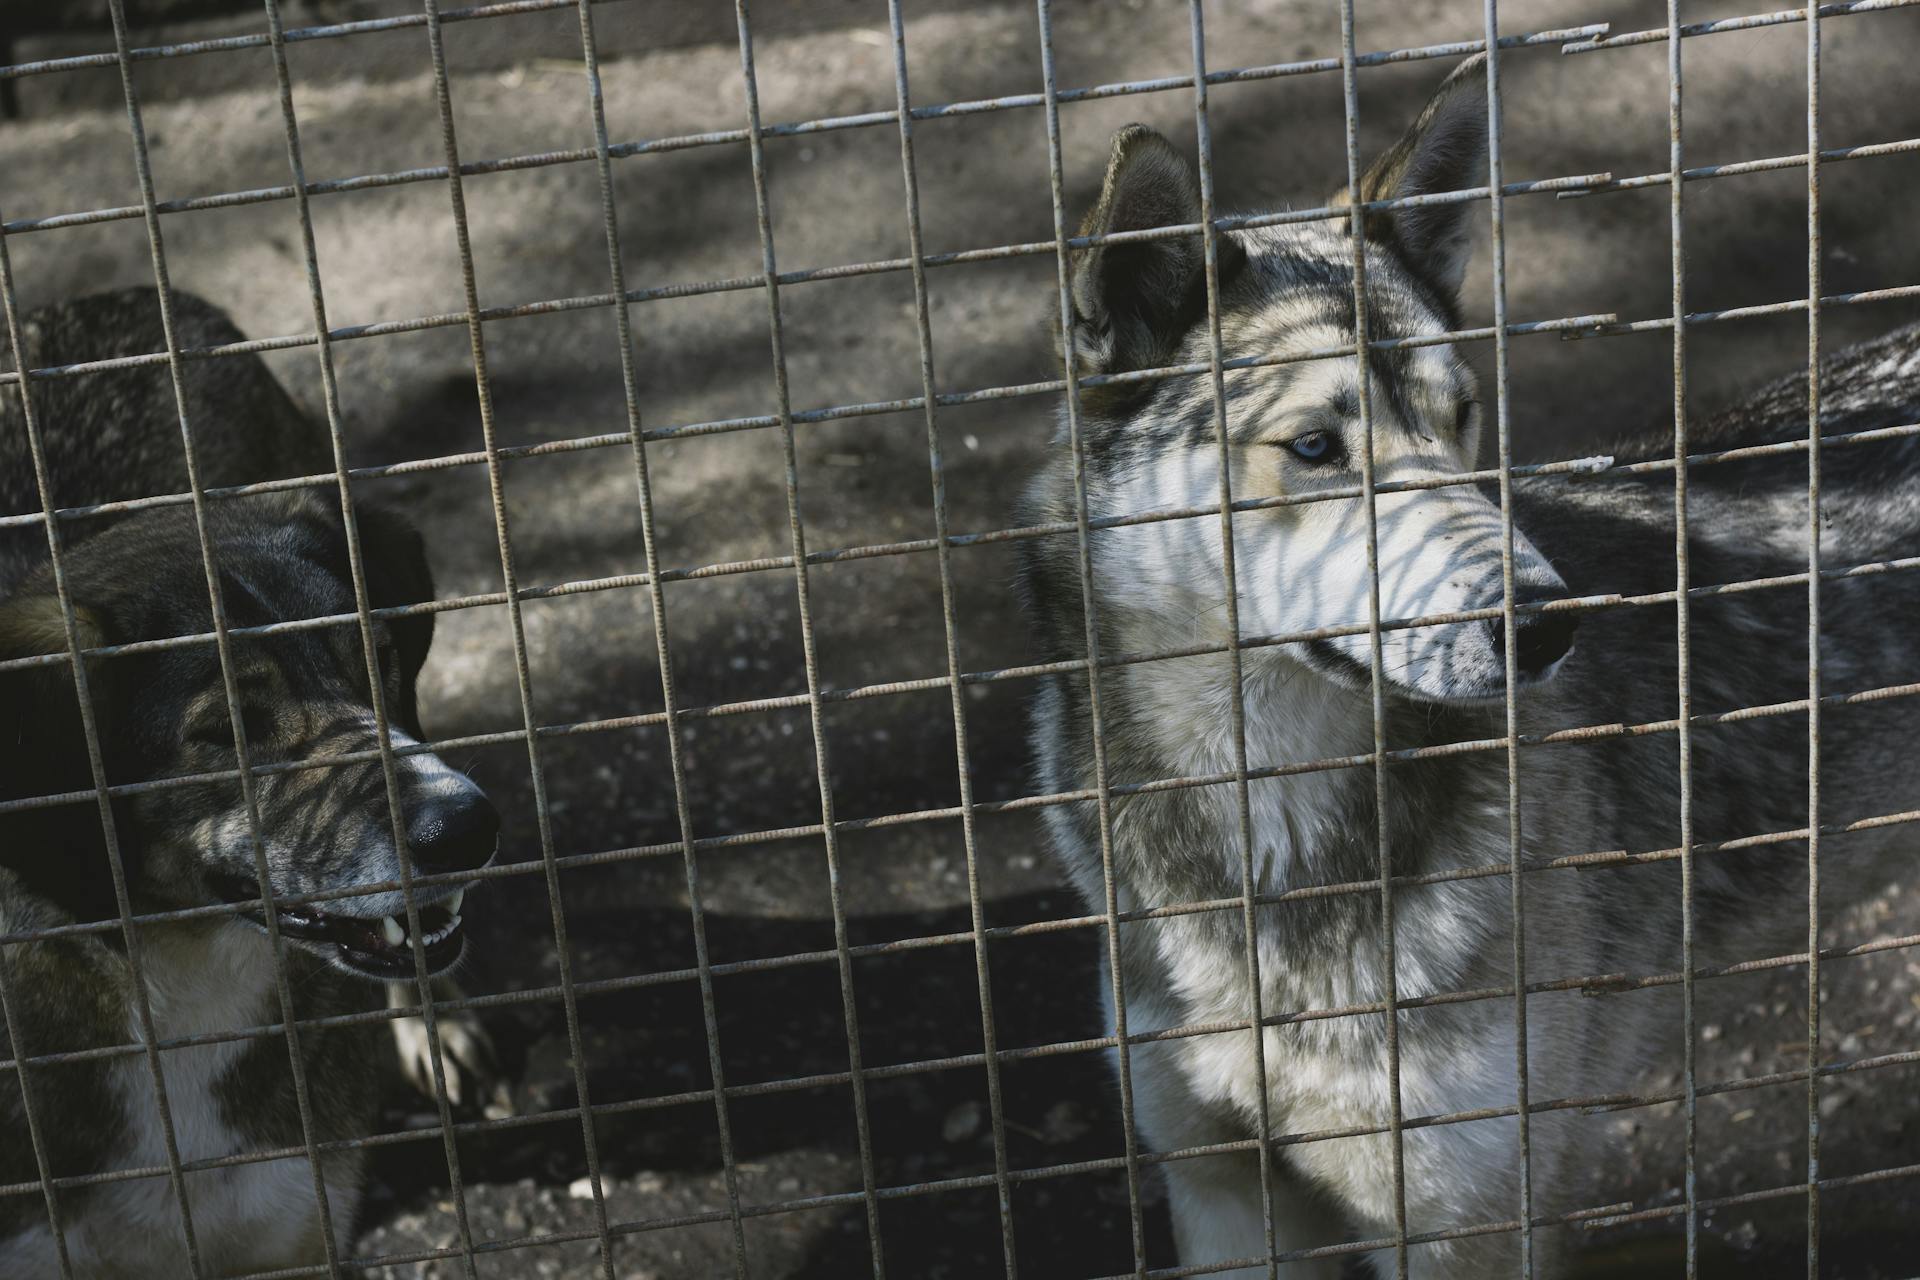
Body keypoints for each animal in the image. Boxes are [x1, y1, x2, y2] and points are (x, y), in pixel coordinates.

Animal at [1021, 55, 1920, 1274]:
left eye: (1462, 421)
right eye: (1315, 447)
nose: (1548, 623)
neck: (1272, 851)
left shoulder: (1468, 1221)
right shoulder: (1217, 1191)